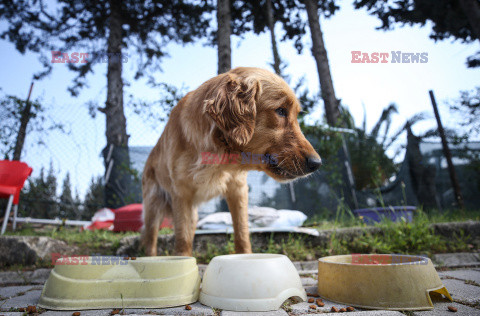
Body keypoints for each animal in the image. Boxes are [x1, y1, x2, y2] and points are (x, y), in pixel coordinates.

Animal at [142, 67, 322, 256]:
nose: (316, 163)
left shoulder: (238, 189)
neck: (218, 155)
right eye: (280, 111)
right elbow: (182, 240)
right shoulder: (181, 193)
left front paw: (245, 256)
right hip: (153, 207)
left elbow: (242, 232)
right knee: (151, 239)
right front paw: (183, 261)